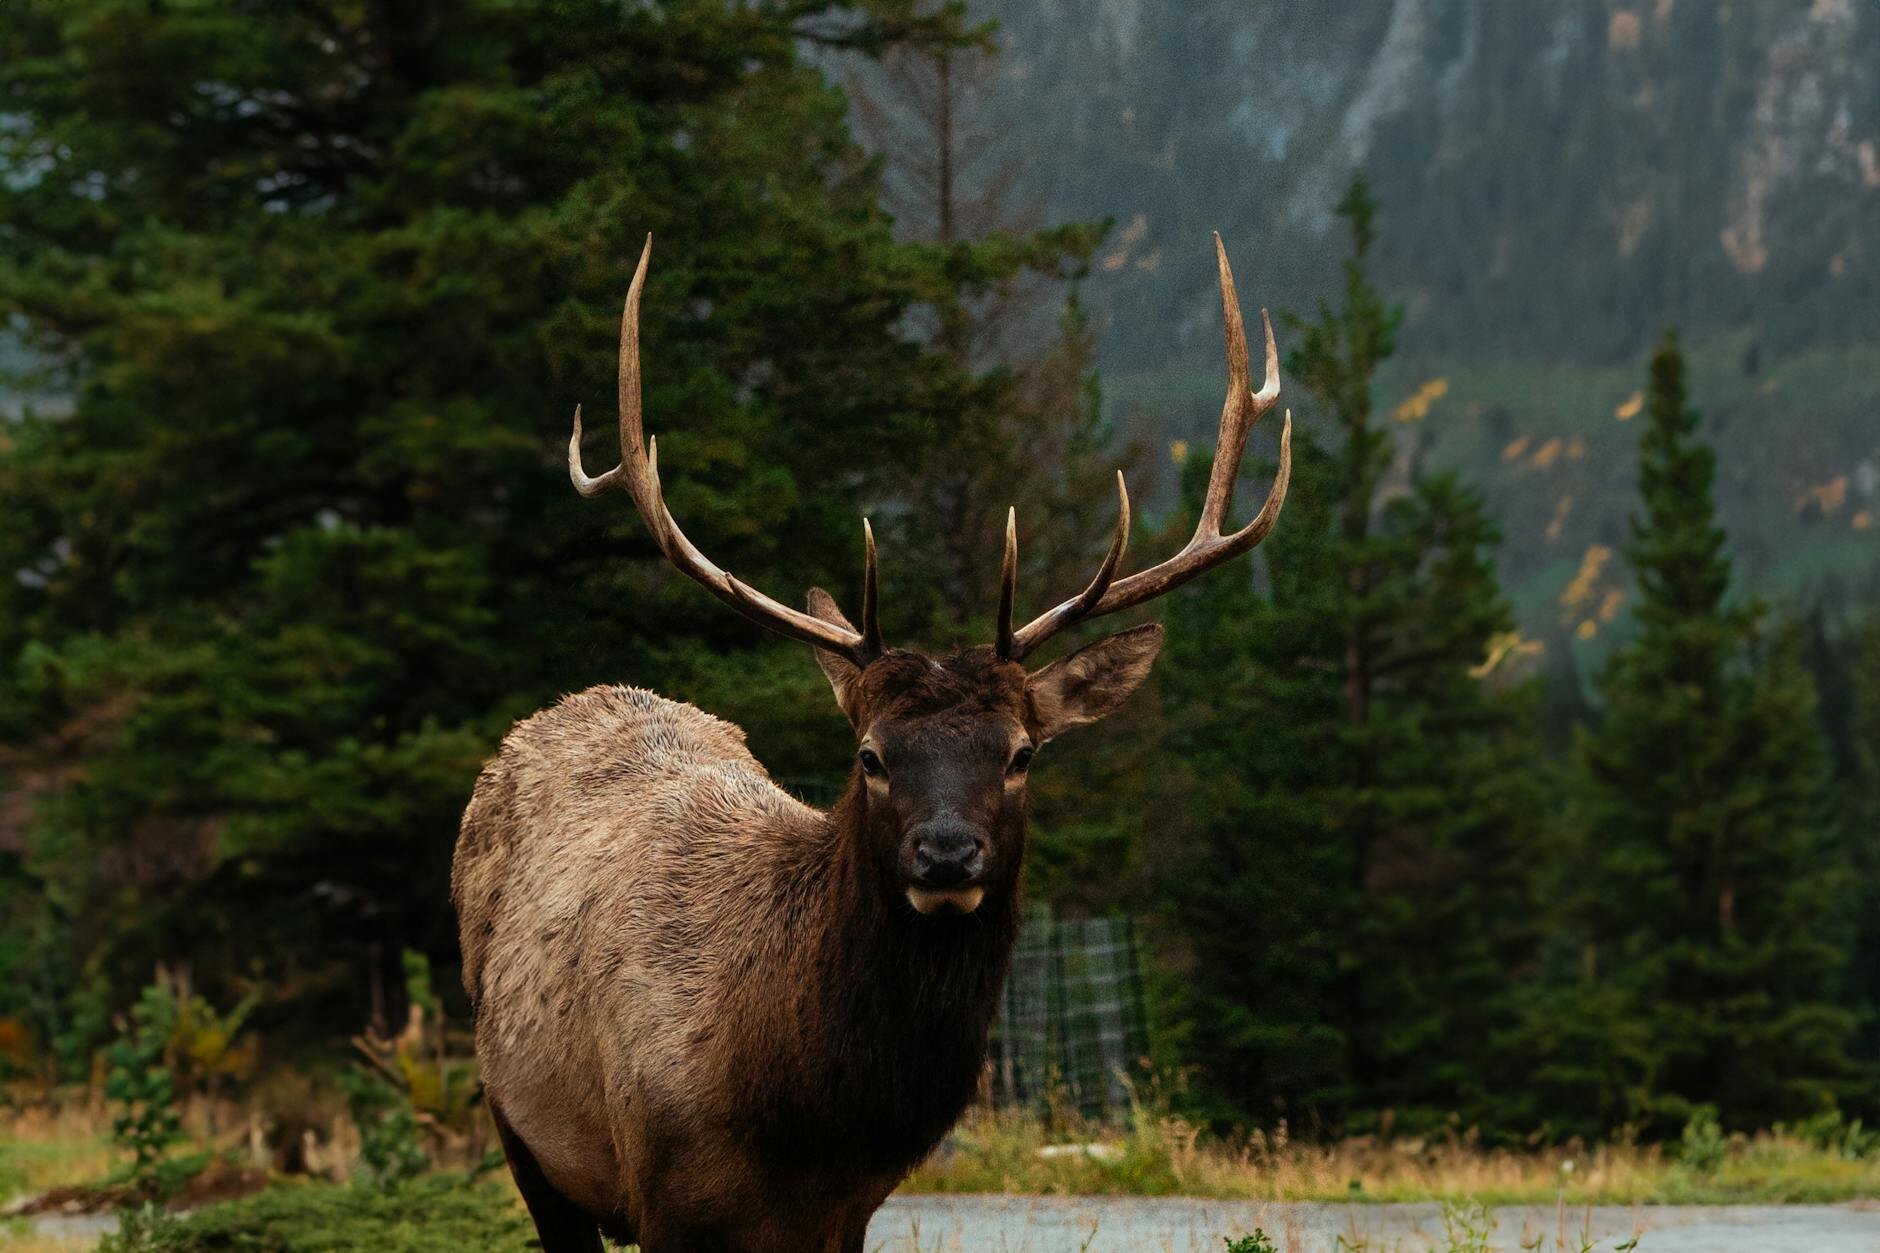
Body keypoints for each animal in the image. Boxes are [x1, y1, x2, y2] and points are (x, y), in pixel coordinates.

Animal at [447, 234, 1285, 1249]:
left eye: (1022, 752)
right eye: (871, 755)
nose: (947, 852)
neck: (801, 1116)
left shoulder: (852, 1207)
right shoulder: (661, 1192)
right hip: (518, 1124)